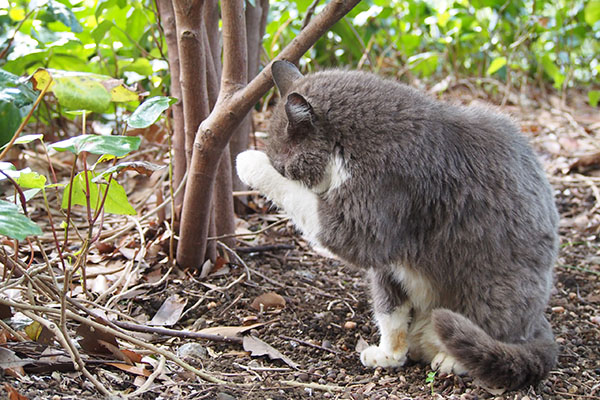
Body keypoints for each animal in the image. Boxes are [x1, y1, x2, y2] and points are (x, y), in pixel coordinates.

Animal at [234, 60, 556, 390]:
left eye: (282, 166)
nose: (277, 165)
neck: (358, 140)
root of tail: (537, 322)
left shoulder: (367, 212)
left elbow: (305, 202)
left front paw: (247, 160)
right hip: (389, 274)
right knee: (392, 313)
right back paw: (390, 353)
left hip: (492, 288)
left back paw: (451, 359)